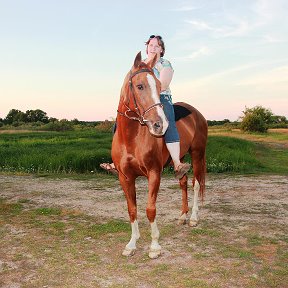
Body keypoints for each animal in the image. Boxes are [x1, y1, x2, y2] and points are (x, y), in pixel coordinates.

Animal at [111, 51, 208, 258]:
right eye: (139, 86)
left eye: (158, 84)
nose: (160, 125)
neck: (132, 137)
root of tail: (198, 114)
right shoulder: (125, 177)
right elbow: (132, 209)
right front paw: (132, 243)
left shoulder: (154, 173)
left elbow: (150, 209)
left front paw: (155, 246)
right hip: (179, 159)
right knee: (183, 182)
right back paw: (182, 216)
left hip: (197, 154)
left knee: (196, 184)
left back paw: (193, 218)